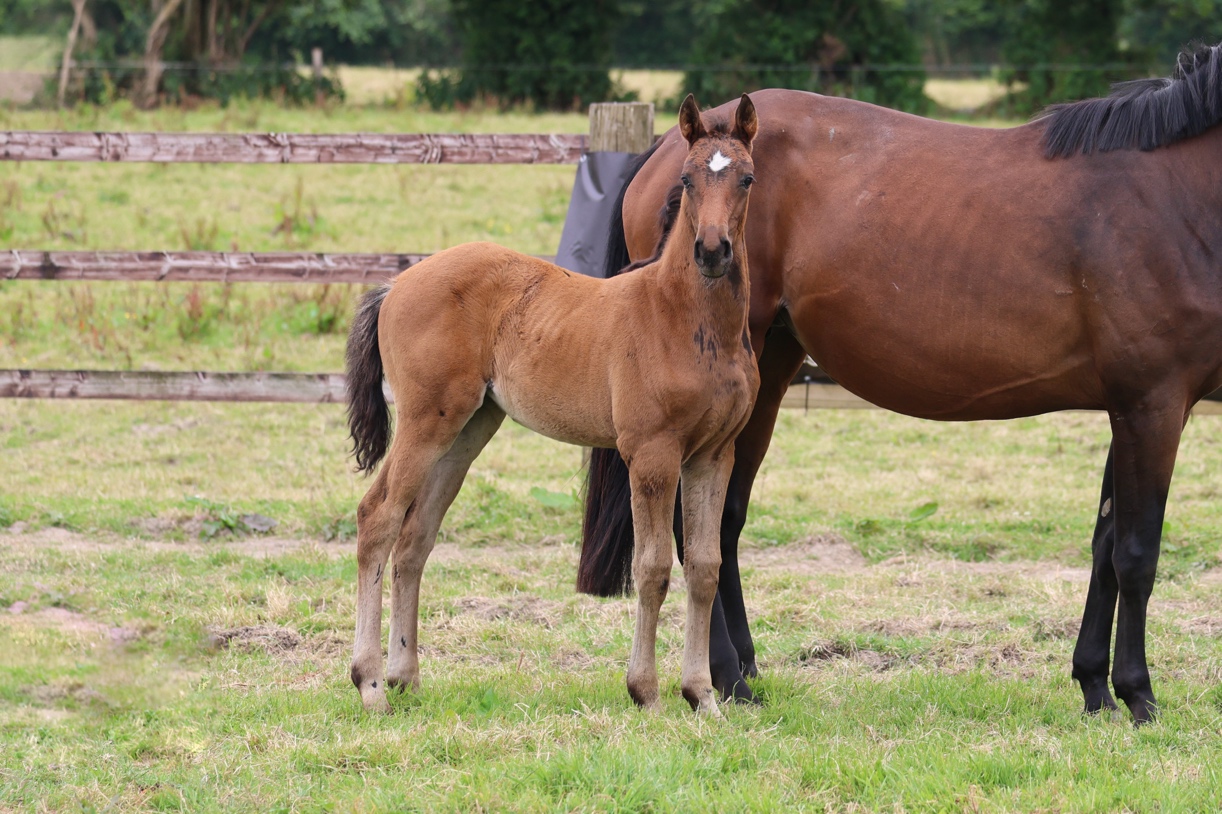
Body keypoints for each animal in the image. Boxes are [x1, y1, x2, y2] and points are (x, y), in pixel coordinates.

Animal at [344, 95, 757, 713]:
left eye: (747, 178)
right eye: (686, 179)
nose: (711, 250)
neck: (686, 321)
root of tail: (396, 286)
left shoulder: (713, 453)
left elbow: (704, 567)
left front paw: (703, 696)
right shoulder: (652, 454)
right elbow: (654, 567)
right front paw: (646, 692)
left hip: (468, 428)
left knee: (415, 539)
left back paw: (405, 675)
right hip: (425, 421)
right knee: (379, 517)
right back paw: (370, 684)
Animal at [576, 42, 1222, 723]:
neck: (1172, 196)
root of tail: (664, 152)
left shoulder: (1129, 406)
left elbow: (1105, 546)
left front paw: (1095, 685)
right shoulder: (1154, 404)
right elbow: (1137, 554)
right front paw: (1137, 693)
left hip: (766, 371)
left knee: (721, 522)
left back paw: (742, 671)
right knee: (694, 529)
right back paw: (726, 678)